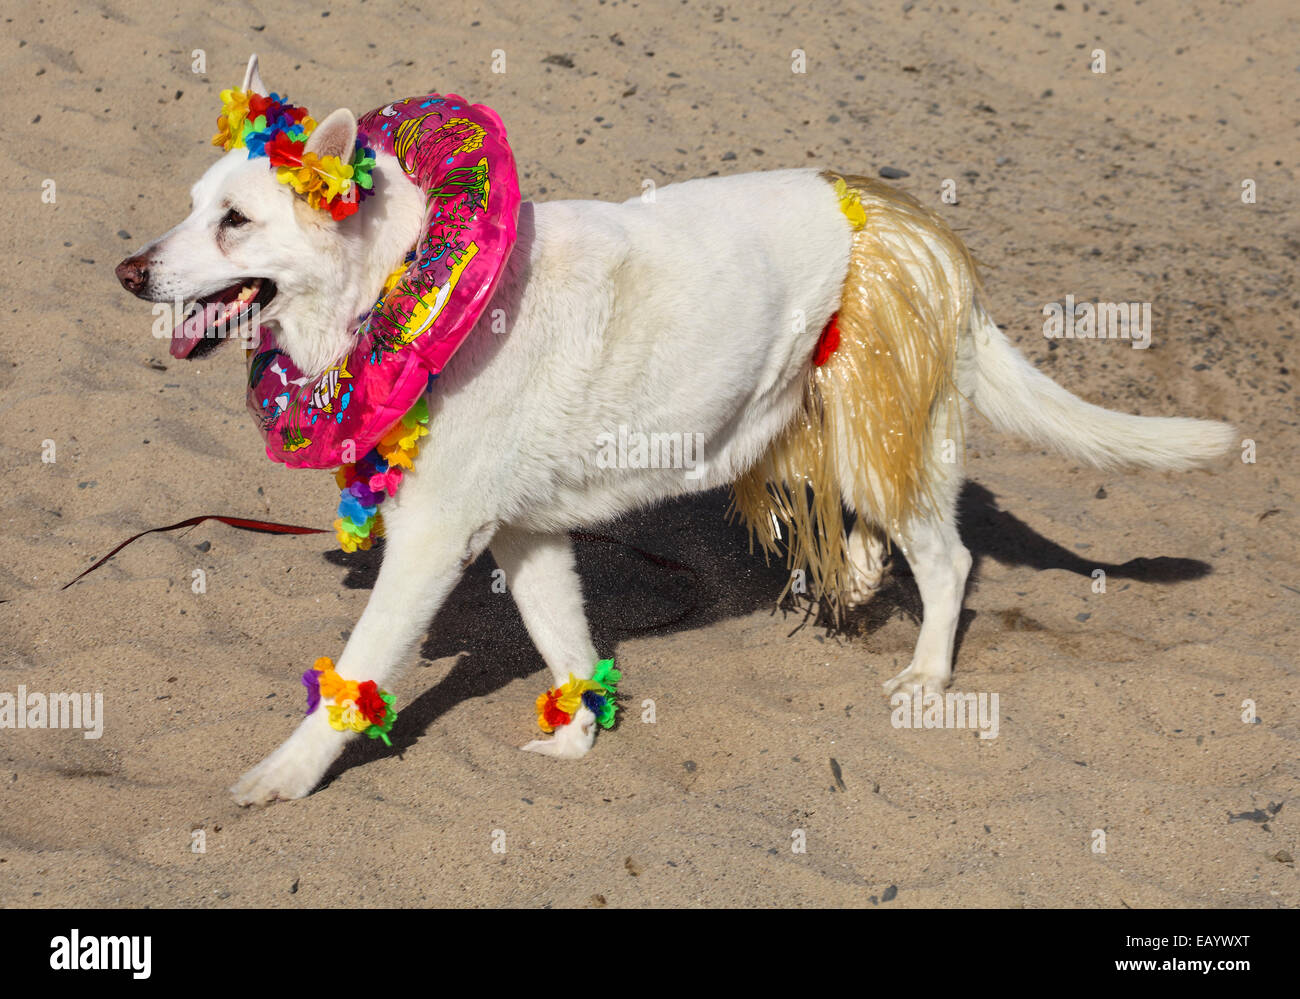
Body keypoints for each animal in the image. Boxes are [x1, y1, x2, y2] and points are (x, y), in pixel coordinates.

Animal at [116, 56, 1232, 801]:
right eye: (195, 207)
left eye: (237, 222)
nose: (127, 271)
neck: (409, 277)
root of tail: (907, 222)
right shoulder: (524, 537)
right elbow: (563, 639)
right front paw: (575, 739)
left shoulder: (434, 539)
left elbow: (360, 668)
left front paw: (283, 773)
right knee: (884, 545)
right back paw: (856, 589)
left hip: (876, 438)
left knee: (950, 558)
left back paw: (927, 670)